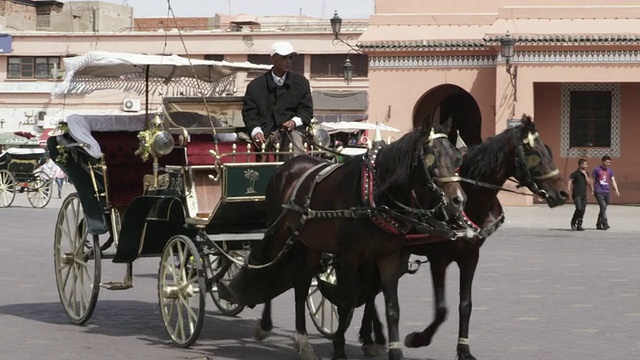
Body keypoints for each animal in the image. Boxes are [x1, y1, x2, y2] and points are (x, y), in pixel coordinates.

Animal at [222, 116, 468, 358]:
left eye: (457, 157)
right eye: (431, 157)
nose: (458, 200)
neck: (374, 194)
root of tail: (287, 165)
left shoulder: (388, 256)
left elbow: (392, 307)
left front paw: (393, 350)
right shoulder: (350, 256)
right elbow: (346, 303)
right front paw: (339, 349)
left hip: (309, 243)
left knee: (301, 285)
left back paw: (303, 341)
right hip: (279, 232)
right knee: (270, 270)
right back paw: (266, 325)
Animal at [356, 114, 568, 358]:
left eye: (549, 150)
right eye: (535, 154)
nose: (563, 193)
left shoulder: (470, 257)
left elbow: (465, 305)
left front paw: (464, 349)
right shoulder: (439, 259)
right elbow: (441, 309)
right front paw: (418, 338)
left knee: (376, 288)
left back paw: (377, 335)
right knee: (370, 290)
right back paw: (370, 337)